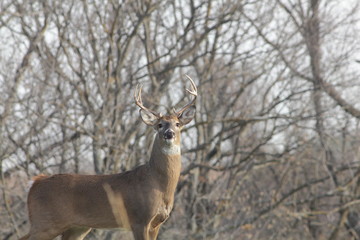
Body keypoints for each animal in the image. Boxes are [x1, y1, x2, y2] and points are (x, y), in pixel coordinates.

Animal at [20, 76, 197, 240]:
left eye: (177, 124)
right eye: (159, 125)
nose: (169, 134)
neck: (158, 183)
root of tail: (35, 183)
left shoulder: (157, 223)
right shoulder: (139, 219)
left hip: (76, 227)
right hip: (46, 222)